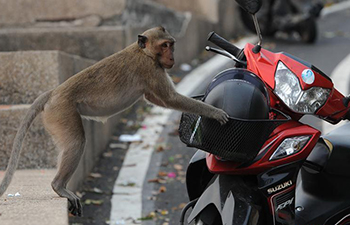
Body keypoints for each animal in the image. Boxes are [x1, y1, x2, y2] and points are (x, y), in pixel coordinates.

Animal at [0, 26, 230, 216]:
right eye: (165, 45)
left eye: (171, 44)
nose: (172, 56)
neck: (144, 52)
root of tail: (53, 93)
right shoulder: (150, 69)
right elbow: (170, 99)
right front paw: (215, 112)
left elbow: (156, 99)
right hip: (61, 112)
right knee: (76, 142)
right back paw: (59, 186)